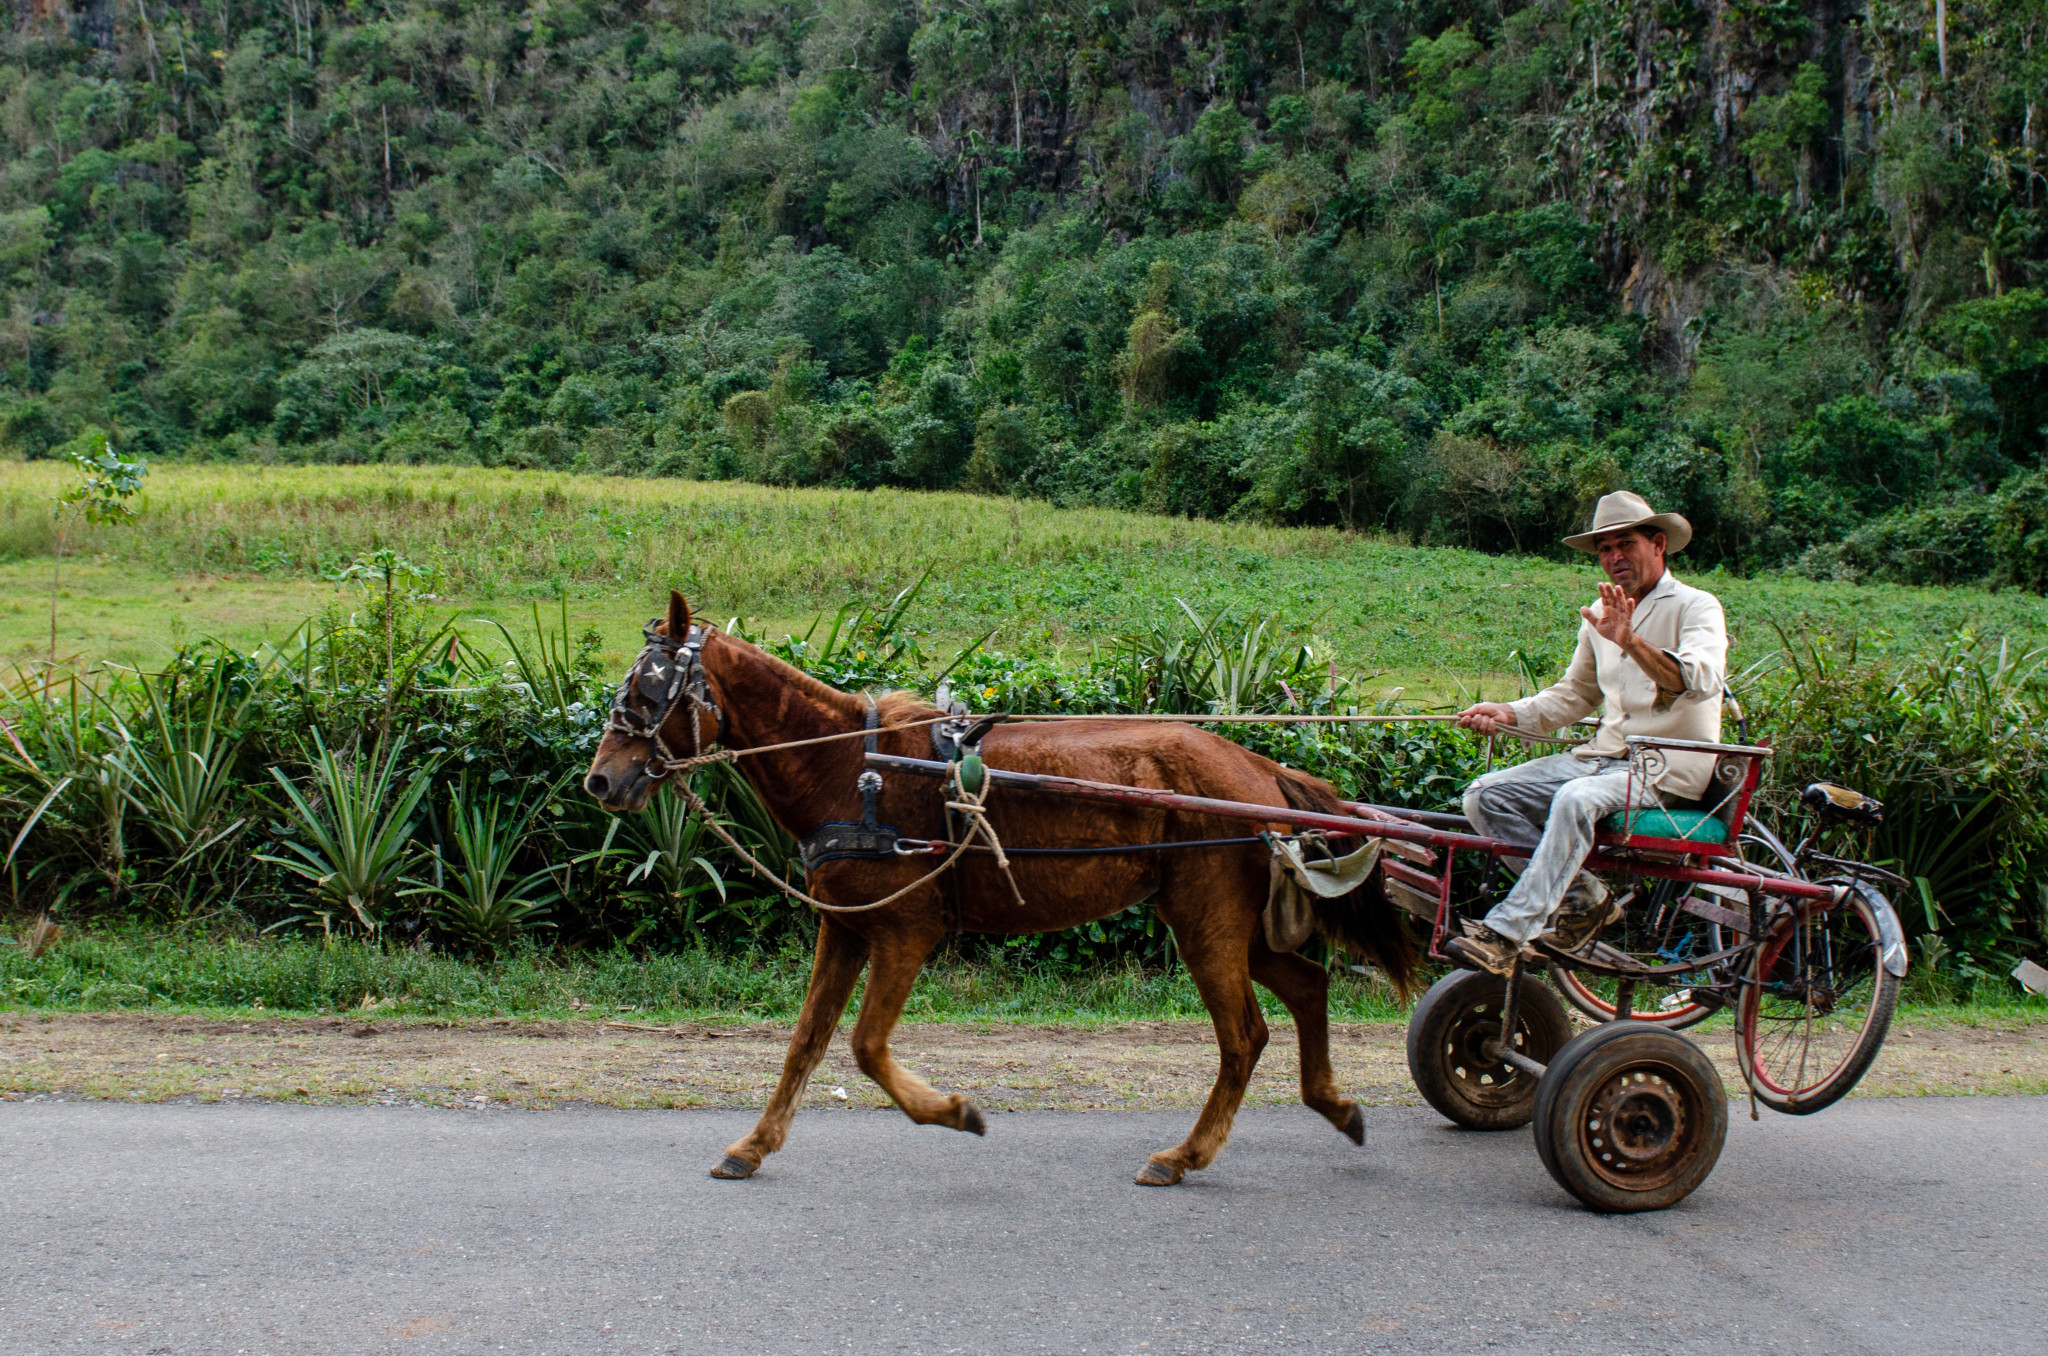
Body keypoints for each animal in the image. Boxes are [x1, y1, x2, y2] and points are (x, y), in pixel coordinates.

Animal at [585, 594, 1417, 1188]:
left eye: (651, 689)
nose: (600, 780)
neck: (852, 770)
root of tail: (1255, 767)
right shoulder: (846, 926)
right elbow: (806, 1043)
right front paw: (754, 1145)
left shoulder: (906, 932)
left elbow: (864, 1046)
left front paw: (955, 1112)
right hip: (1227, 922)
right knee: (1306, 986)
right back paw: (1334, 1105)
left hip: (1206, 921)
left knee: (1244, 1036)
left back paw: (1185, 1155)